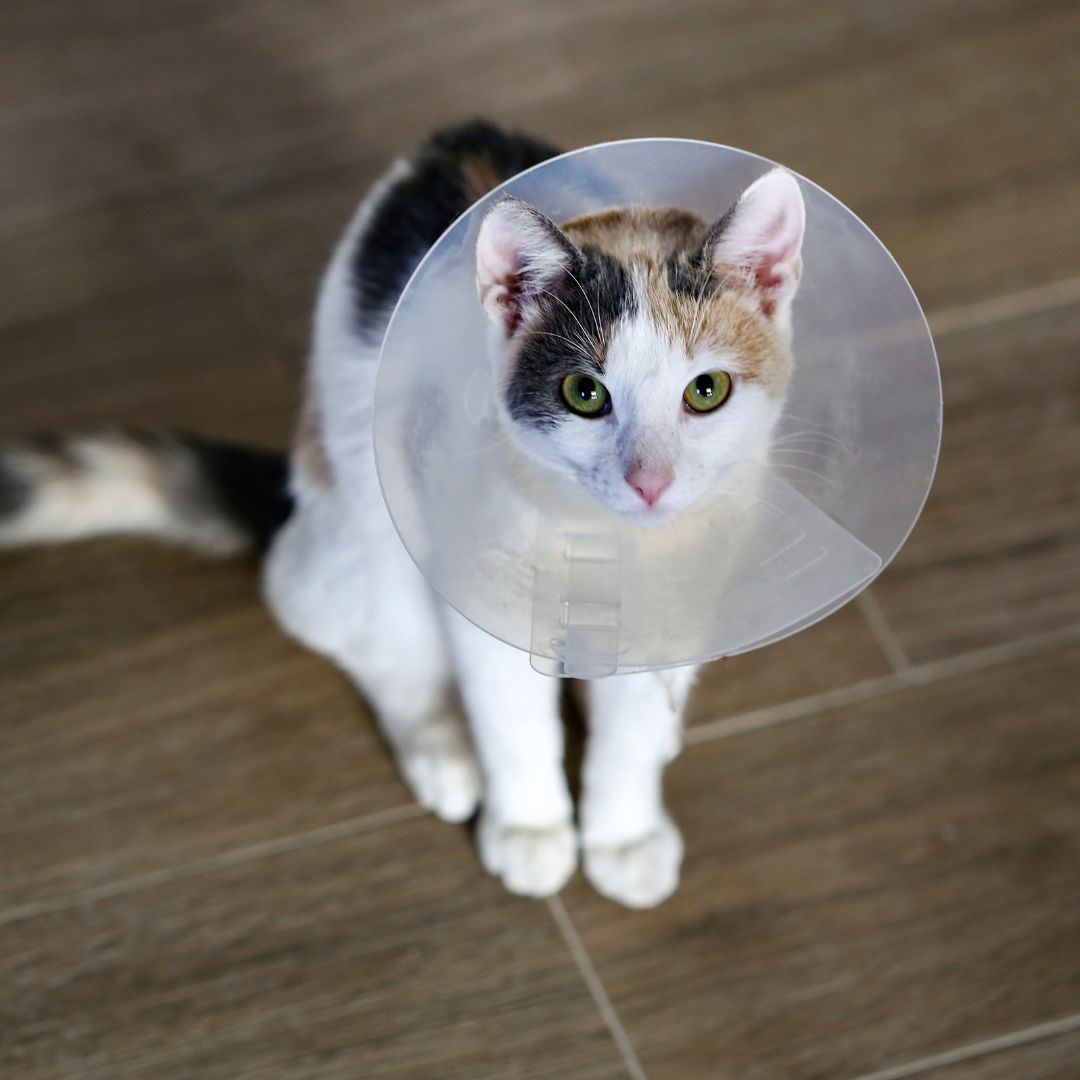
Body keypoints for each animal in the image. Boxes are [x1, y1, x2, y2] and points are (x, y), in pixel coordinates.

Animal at [0, 120, 803, 911]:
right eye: (584, 394)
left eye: (705, 391)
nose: (650, 481)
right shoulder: (478, 594)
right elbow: (510, 714)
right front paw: (532, 827)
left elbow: (632, 728)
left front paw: (624, 834)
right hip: (366, 520)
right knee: (363, 633)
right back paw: (441, 749)